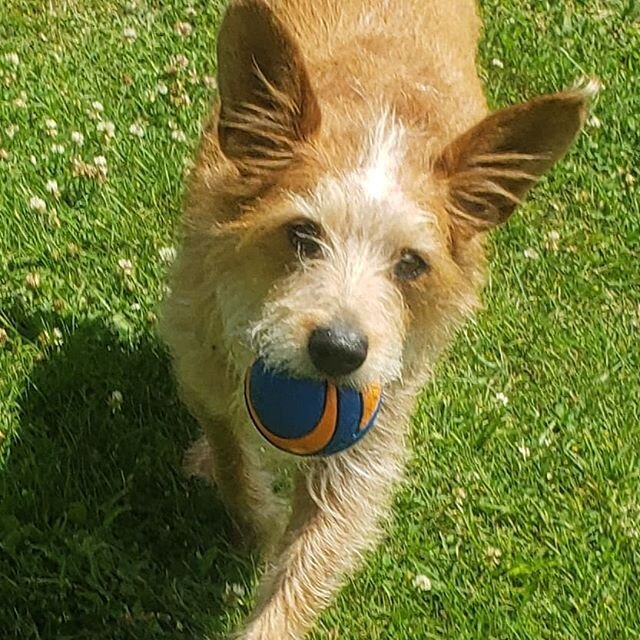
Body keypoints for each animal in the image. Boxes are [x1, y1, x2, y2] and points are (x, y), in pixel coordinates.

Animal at [159, 2, 596, 636]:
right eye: (302, 233)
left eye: (410, 262)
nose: (339, 351)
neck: (378, 126)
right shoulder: (200, 346)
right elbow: (228, 445)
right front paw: (255, 516)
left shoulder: (365, 440)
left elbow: (309, 564)